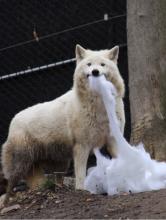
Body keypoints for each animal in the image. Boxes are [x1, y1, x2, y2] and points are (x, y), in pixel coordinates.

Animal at [1, 43, 125, 199]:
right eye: (89, 64)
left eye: (103, 64)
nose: (95, 72)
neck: (100, 104)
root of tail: (13, 120)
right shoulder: (82, 146)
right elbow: (80, 175)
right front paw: (81, 191)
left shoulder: (113, 141)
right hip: (21, 165)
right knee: (10, 185)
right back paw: (8, 200)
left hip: (57, 164)